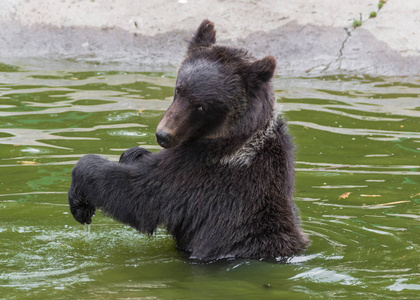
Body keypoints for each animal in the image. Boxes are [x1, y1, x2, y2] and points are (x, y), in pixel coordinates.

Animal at [69, 19, 310, 262]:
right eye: (179, 89)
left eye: (201, 106)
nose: (163, 135)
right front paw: (133, 153)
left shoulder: (199, 174)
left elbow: (138, 193)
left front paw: (80, 198)